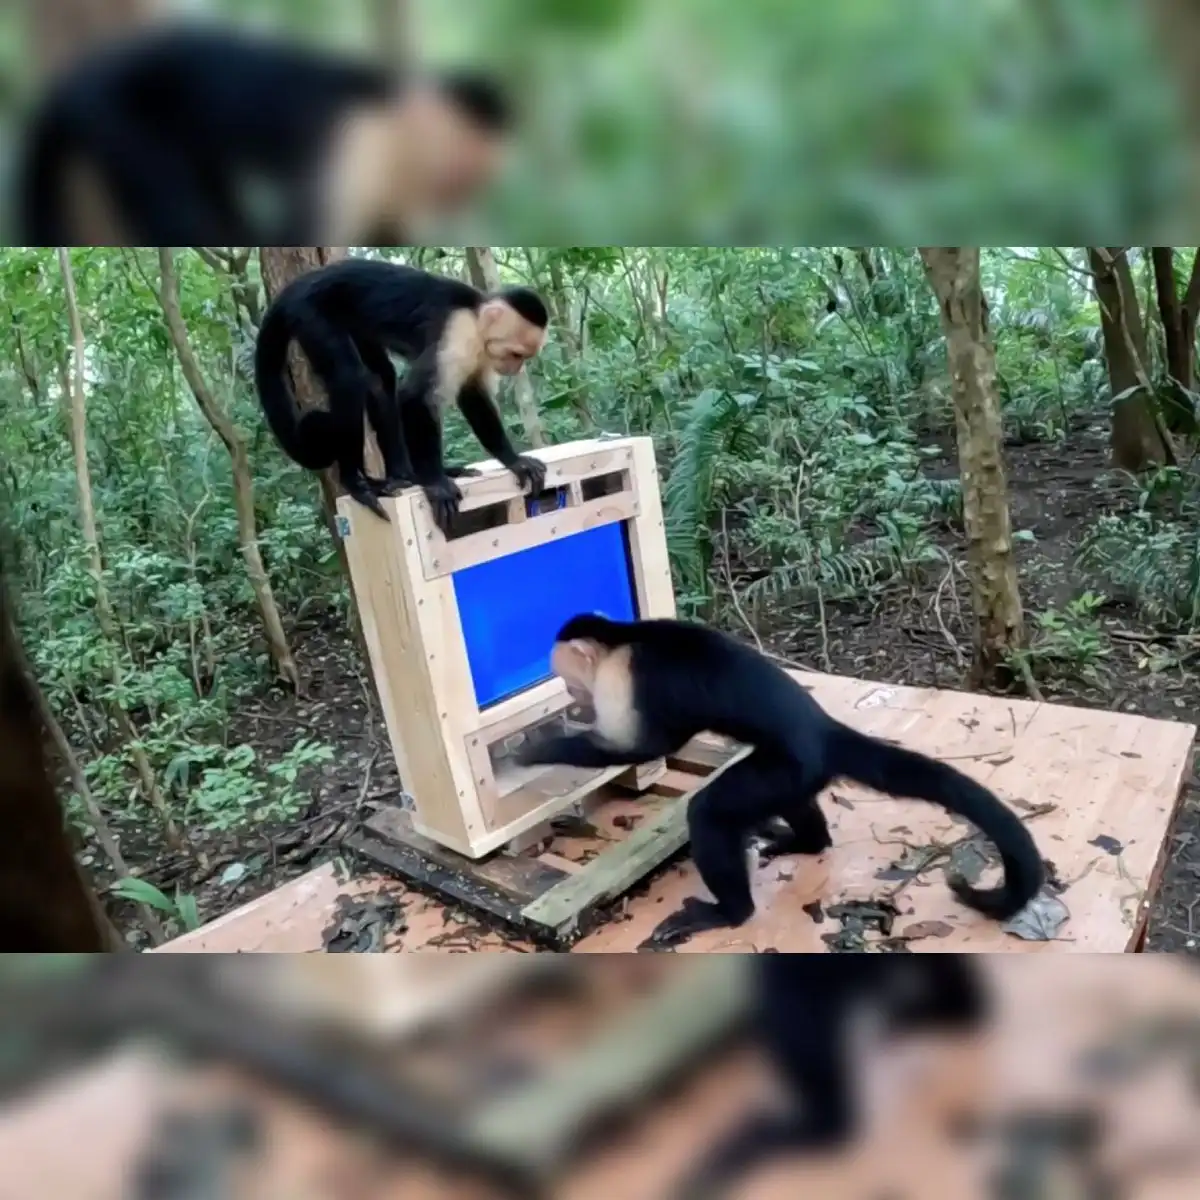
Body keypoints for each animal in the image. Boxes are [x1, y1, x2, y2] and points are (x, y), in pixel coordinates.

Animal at [14, 24, 512, 245]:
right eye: (462, 173)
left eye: (476, 183)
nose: (462, 204)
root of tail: (80, 77)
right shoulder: (355, 151)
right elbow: (301, 233)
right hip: (112, 111)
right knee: (182, 213)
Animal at [255, 258, 549, 526]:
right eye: (516, 354)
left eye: (523, 357)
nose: (515, 367)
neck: (476, 317)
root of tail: (295, 288)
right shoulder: (458, 335)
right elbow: (415, 397)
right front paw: (435, 483)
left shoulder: (480, 353)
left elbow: (472, 396)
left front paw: (513, 460)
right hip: (310, 313)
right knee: (348, 378)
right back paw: (356, 482)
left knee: (380, 378)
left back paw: (404, 475)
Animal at [515, 614, 1046, 946]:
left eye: (571, 682)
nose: (573, 698)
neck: (624, 639)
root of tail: (824, 729)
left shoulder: (623, 682)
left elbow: (642, 749)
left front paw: (536, 750)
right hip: (799, 772)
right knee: (792, 804)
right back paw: (805, 840)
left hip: (791, 764)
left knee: (710, 811)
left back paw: (730, 912)